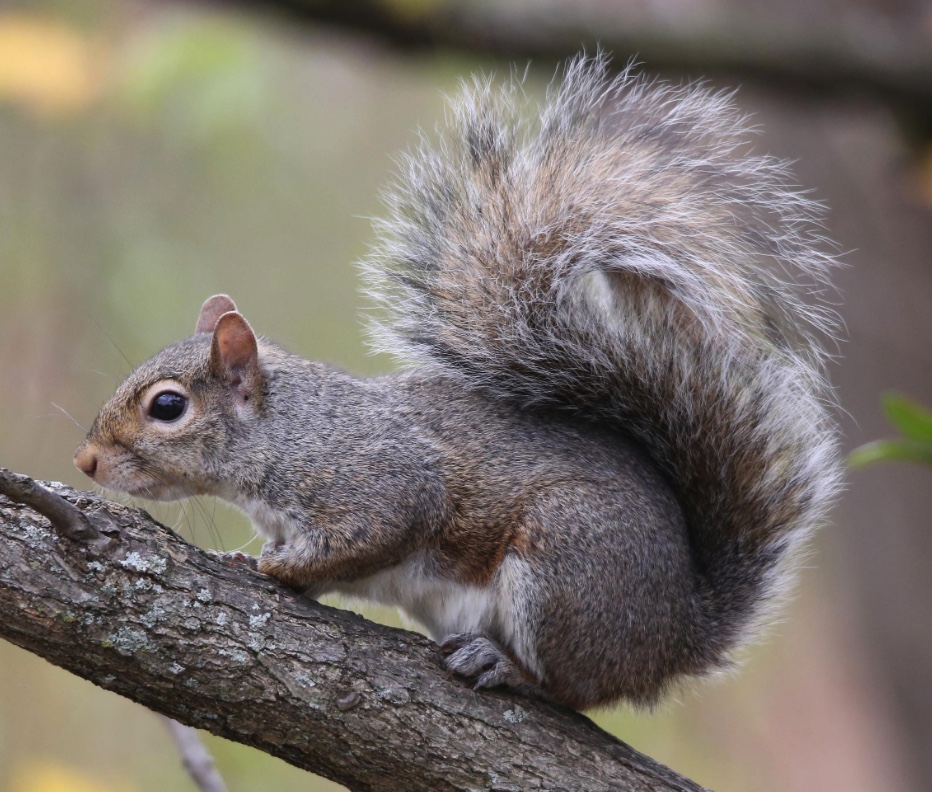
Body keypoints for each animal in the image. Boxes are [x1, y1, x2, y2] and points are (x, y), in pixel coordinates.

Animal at [73, 55, 841, 710]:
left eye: (167, 406)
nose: (85, 460)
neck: (287, 430)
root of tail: (678, 635)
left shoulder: (378, 480)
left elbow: (373, 530)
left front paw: (272, 568)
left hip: (565, 564)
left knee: (574, 688)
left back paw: (508, 667)